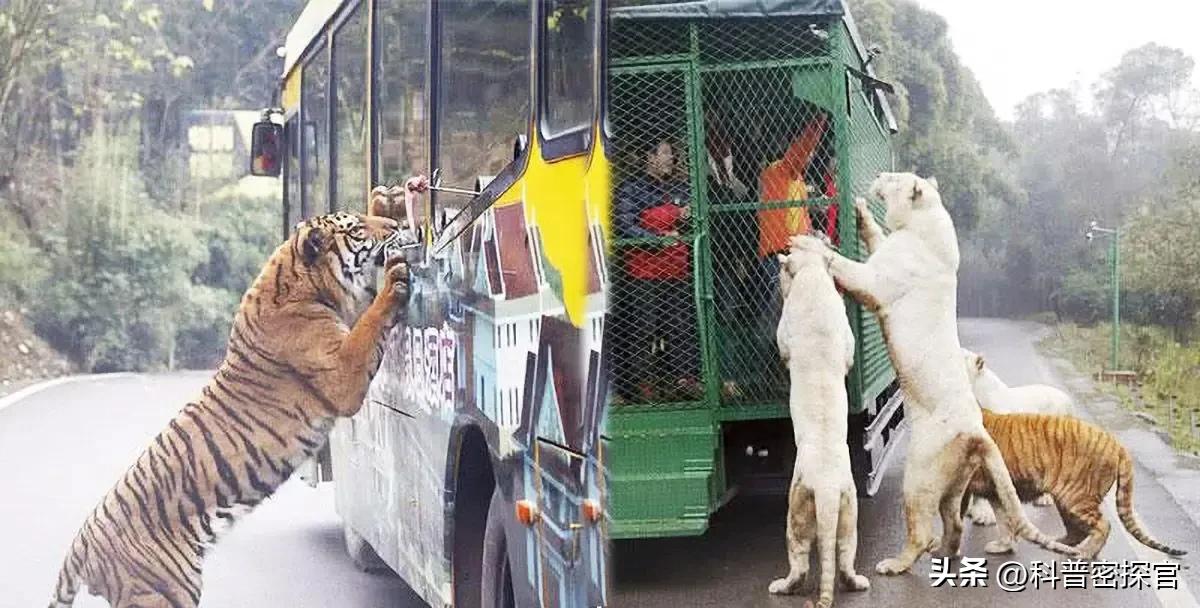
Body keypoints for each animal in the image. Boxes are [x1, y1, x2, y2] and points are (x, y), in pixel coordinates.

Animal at [48, 176, 432, 608]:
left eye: (366, 219)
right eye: (357, 231)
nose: (395, 227)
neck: (302, 280)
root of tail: (81, 543)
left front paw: (385, 198)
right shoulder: (342, 372)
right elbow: (370, 323)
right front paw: (395, 278)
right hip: (165, 590)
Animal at [792, 172, 1084, 575]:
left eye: (894, 178)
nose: (880, 175)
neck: (923, 222)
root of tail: (977, 430)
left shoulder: (881, 279)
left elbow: (850, 268)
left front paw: (813, 246)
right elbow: (876, 236)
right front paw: (863, 213)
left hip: (919, 474)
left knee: (920, 529)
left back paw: (895, 564)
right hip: (955, 479)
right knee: (954, 521)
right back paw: (944, 552)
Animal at [969, 410, 1185, 561]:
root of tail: (1115, 443)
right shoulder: (996, 492)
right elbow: (1004, 520)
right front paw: (1004, 546)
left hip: (1076, 498)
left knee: (1103, 525)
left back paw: (1083, 553)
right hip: (1066, 501)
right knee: (1078, 530)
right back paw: (1060, 544)